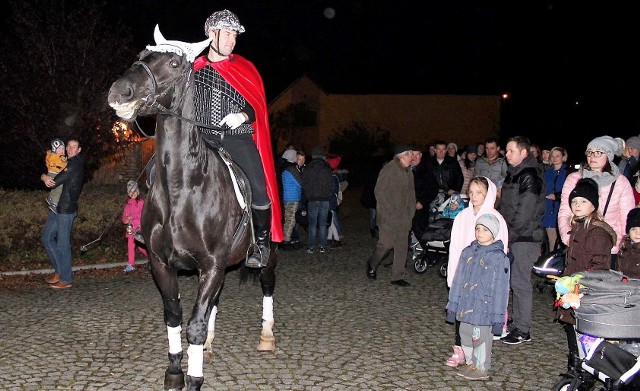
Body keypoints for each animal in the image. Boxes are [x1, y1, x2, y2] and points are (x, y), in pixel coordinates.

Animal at [107, 27, 276, 391]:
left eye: (174, 63)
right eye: (140, 55)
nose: (119, 92)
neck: (183, 185)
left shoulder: (211, 264)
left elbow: (195, 325)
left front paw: (194, 377)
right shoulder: (163, 264)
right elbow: (175, 316)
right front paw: (174, 371)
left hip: (269, 250)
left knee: (267, 282)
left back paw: (267, 335)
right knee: (214, 302)